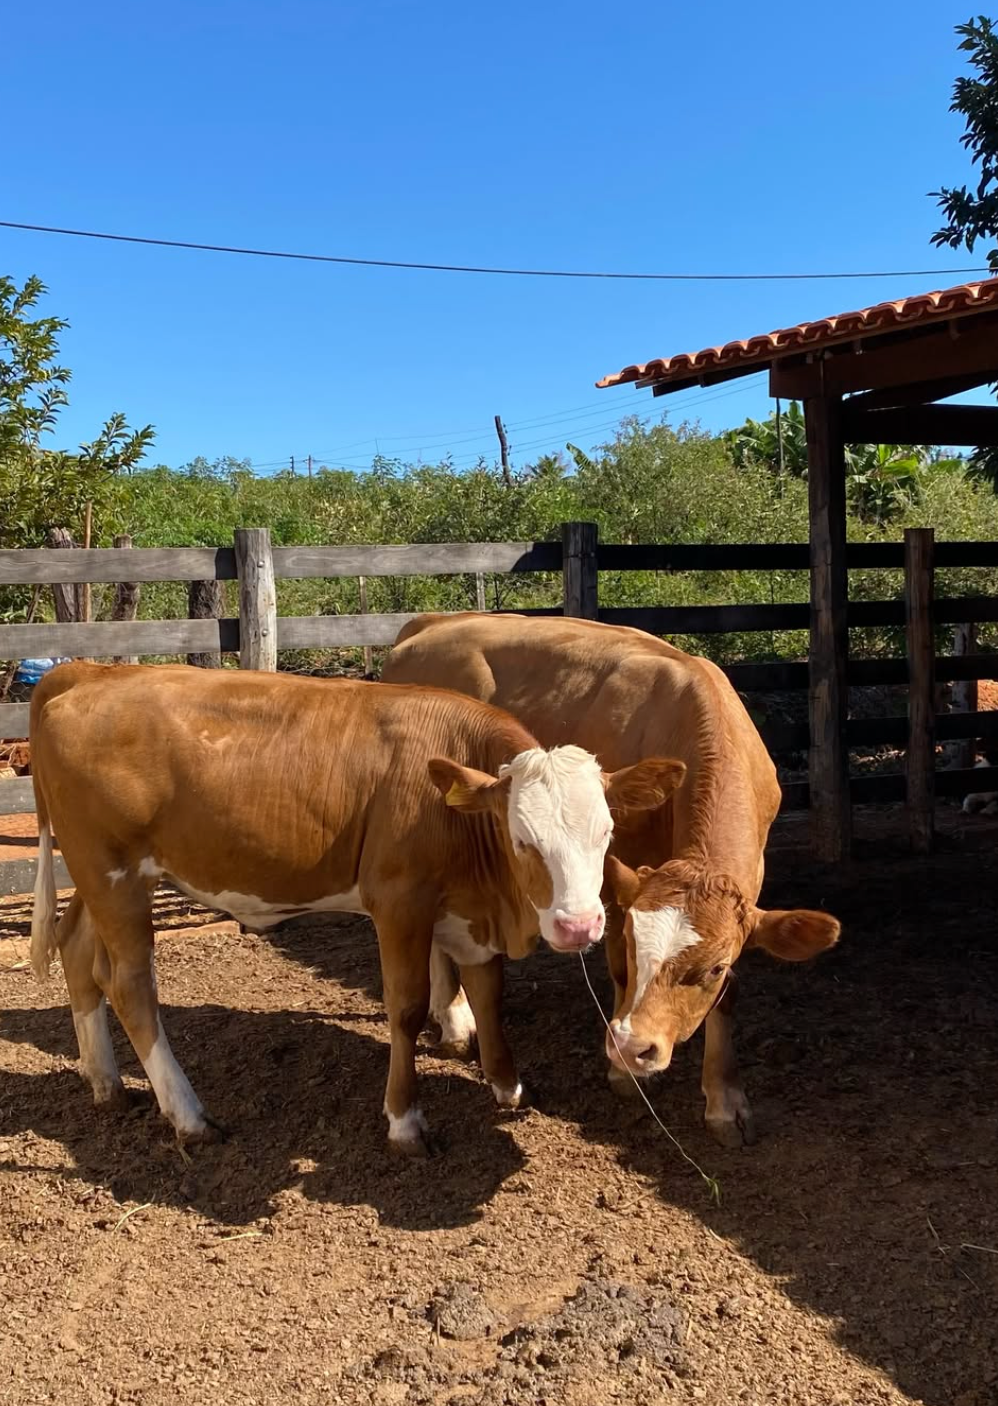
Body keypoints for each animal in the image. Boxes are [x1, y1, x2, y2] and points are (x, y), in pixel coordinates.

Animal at [29, 661, 683, 1155]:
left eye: (606, 832)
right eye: (523, 839)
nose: (580, 925)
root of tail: (88, 672)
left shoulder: (470, 914)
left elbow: (487, 992)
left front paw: (509, 1086)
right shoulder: (398, 902)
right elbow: (407, 1009)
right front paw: (405, 1122)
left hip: (102, 879)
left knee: (78, 952)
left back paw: (105, 1082)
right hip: (111, 874)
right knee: (131, 985)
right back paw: (188, 1115)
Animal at [383, 613, 841, 1147]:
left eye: (713, 967)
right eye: (637, 946)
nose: (634, 1046)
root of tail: (430, 625)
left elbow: (728, 997)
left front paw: (725, 1100)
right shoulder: (616, 885)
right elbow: (620, 969)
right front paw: (622, 1071)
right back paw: (453, 1016)